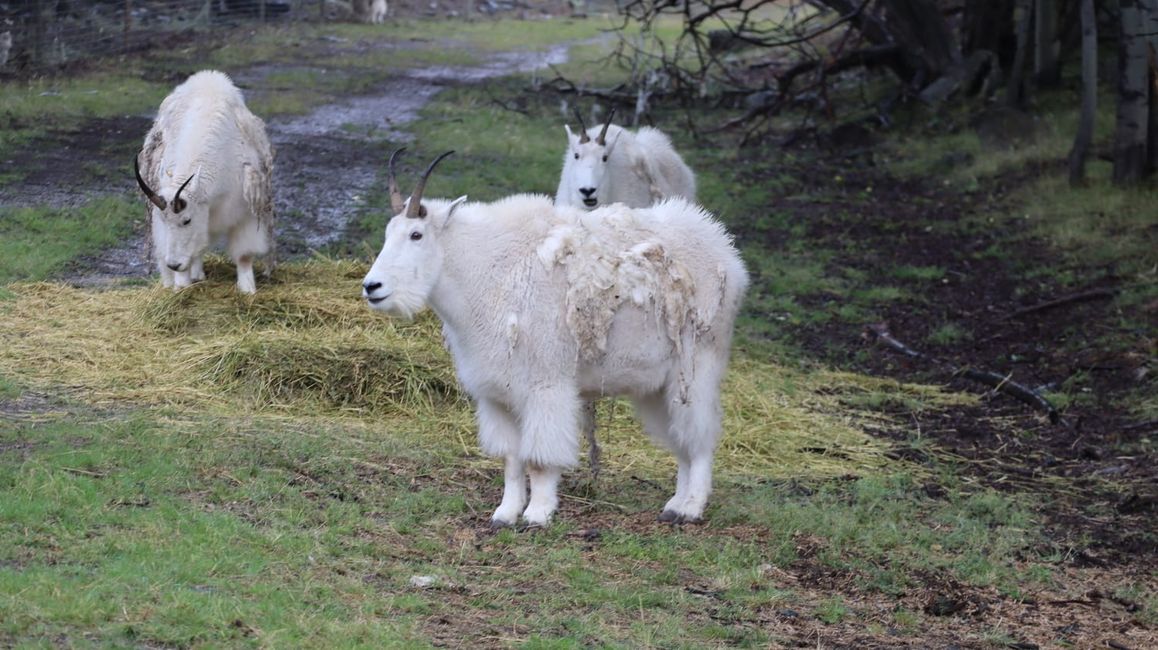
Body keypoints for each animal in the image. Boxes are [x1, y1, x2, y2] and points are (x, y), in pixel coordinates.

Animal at [135, 70, 275, 295]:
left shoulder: (246, 210)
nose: (173, 264)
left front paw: (247, 290)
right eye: (165, 221)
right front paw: (181, 286)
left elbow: (244, 254)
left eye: (187, 220)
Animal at [363, 151, 748, 527]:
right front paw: (504, 515)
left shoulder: (545, 385)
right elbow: (511, 459)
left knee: (700, 437)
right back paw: (673, 505)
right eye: (387, 233)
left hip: (697, 365)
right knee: (681, 440)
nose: (372, 286)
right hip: (657, 385)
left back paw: (691, 508)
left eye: (416, 235)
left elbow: (539, 458)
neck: (487, 273)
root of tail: (727, 253)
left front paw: (537, 515)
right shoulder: (496, 394)